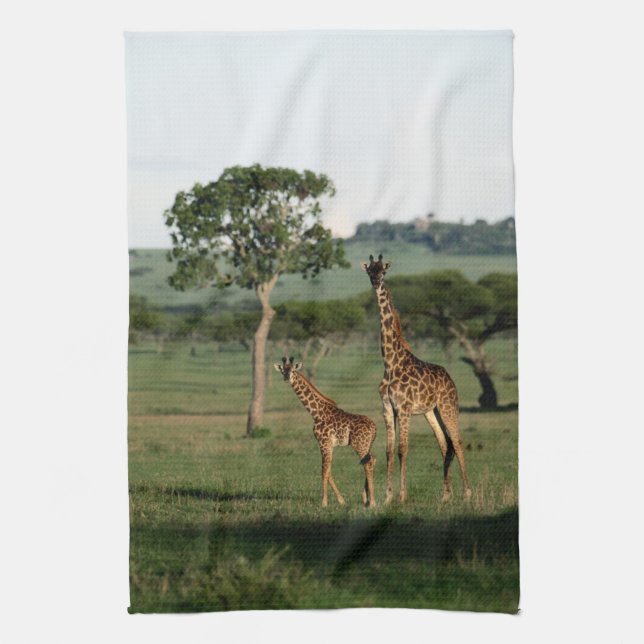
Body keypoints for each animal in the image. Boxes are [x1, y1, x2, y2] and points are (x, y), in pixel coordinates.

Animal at [274, 357, 377, 508]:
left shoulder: (323, 442)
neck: (316, 413)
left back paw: (372, 502)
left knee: (367, 464)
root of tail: (374, 427)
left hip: (360, 445)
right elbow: (329, 471)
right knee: (371, 460)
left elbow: (324, 470)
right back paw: (366, 499)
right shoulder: (329, 445)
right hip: (368, 445)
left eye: (293, 370)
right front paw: (341, 501)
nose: (287, 378)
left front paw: (324, 502)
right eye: (283, 371)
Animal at [361, 255, 472, 503]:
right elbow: (389, 450)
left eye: (383, 271)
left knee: (458, 441)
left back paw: (467, 493)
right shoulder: (387, 408)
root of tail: (450, 379)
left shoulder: (404, 408)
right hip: (432, 411)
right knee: (445, 444)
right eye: (370, 271)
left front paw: (402, 496)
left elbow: (403, 449)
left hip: (448, 406)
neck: (390, 363)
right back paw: (445, 495)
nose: (376, 282)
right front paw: (387, 497)